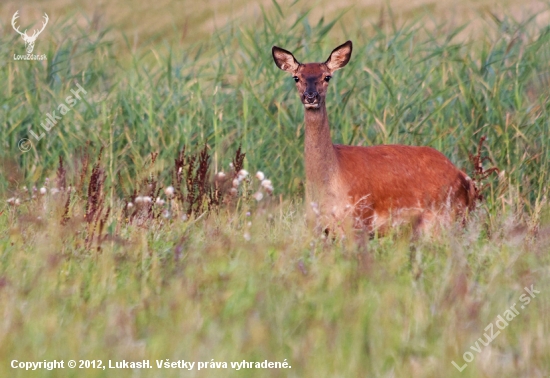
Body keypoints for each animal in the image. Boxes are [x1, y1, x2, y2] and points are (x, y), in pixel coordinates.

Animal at [274, 41, 476, 233]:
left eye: (327, 77)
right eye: (296, 77)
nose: (310, 96)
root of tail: (465, 178)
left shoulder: (359, 217)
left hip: (442, 218)